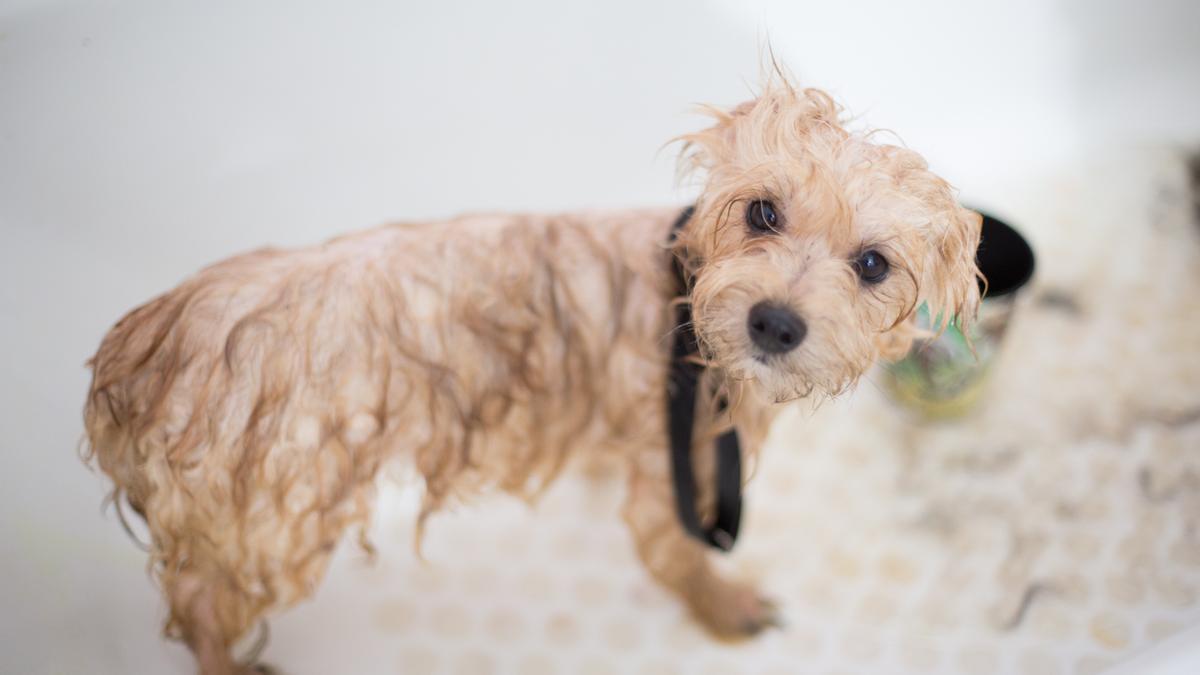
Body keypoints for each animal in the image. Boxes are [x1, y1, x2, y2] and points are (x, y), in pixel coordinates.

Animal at [84, 77, 984, 667]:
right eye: (763, 210)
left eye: (873, 264)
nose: (774, 320)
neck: (684, 307)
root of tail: (135, 357)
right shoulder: (674, 465)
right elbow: (678, 557)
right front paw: (725, 608)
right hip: (270, 520)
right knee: (201, 607)